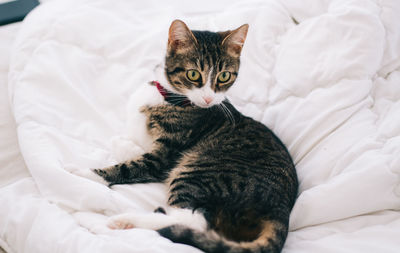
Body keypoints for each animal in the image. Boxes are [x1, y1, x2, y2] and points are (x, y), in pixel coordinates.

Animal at [85, 20, 296, 253]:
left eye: (224, 76)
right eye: (193, 74)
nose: (208, 98)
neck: (168, 98)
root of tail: (281, 209)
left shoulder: (164, 157)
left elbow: (131, 166)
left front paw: (87, 174)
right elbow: (128, 144)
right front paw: (128, 145)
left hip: (201, 170)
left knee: (193, 220)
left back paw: (121, 220)